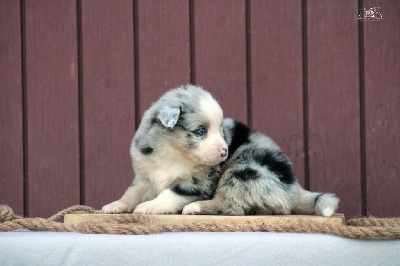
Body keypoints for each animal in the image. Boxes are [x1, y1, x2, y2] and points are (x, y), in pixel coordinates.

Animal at [101, 85, 340, 216]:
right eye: (200, 131)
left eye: (220, 130)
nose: (225, 152)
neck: (173, 153)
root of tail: (294, 189)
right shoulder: (145, 176)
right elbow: (132, 193)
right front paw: (115, 205)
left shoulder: (198, 182)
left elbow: (171, 193)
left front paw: (149, 206)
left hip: (243, 171)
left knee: (232, 205)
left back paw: (197, 207)